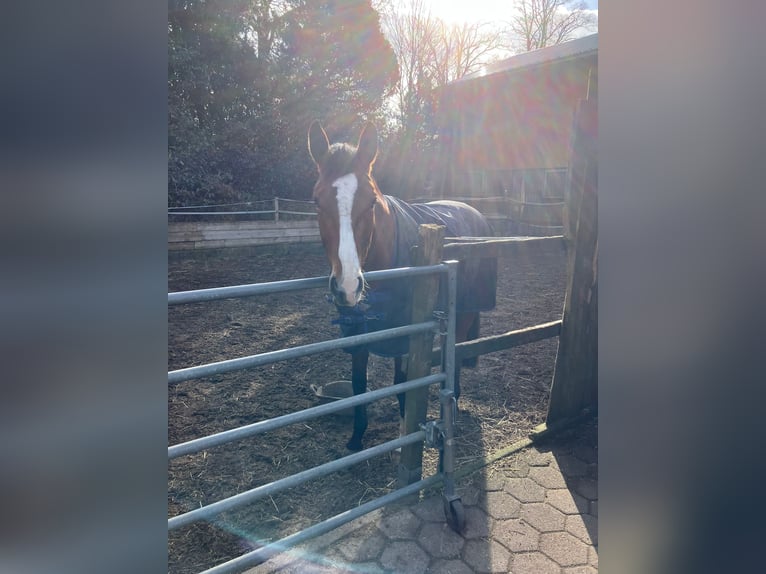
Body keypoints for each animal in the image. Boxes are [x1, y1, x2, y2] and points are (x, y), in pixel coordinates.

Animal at [308, 120, 497, 451]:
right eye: (317, 200)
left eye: (371, 201)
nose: (347, 287)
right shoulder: (361, 334)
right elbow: (360, 386)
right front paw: (356, 439)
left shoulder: (408, 336)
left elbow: (405, 384)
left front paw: (406, 438)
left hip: (465, 315)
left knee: (458, 353)